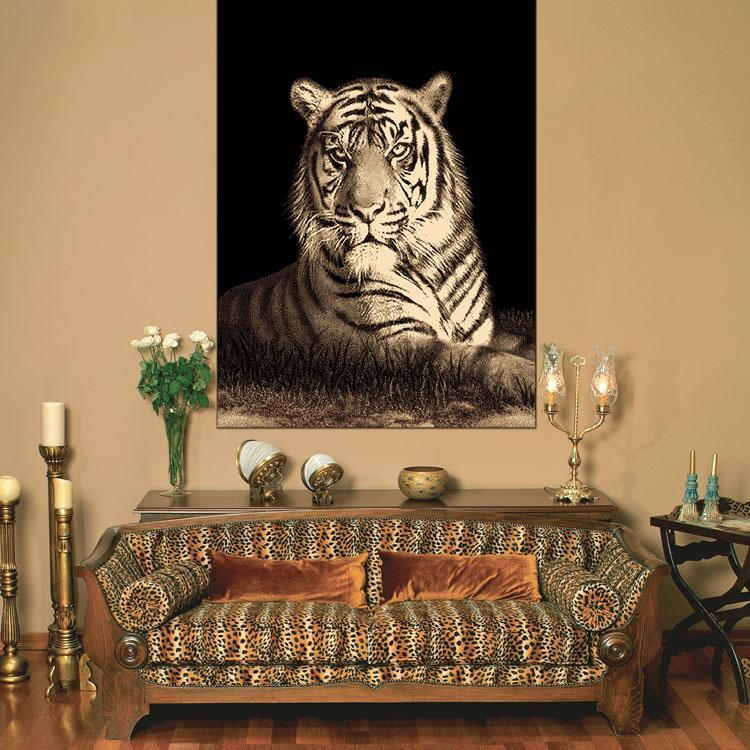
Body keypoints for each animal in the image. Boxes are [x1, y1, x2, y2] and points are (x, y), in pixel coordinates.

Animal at [218, 73, 534, 402]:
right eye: (339, 155)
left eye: (397, 150)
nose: (366, 211)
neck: (430, 268)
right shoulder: (393, 341)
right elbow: (476, 359)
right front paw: (531, 378)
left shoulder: (484, 330)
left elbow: (524, 343)